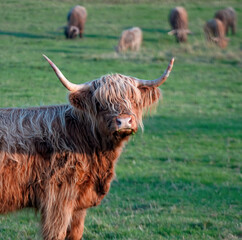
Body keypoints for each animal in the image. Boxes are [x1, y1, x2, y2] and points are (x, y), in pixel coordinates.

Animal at [0, 55, 174, 239]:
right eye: (99, 102)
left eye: (133, 99)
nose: (124, 121)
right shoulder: (57, 201)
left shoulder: (78, 206)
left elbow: (76, 233)